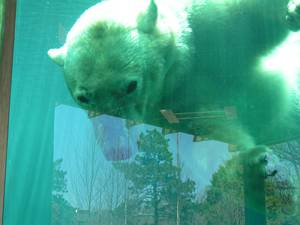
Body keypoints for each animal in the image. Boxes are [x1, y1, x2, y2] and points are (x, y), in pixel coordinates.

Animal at [48, 0, 300, 151]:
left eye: (131, 85)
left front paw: (293, 11)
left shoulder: (212, 25)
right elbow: (211, 126)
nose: (115, 126)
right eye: (83, 97)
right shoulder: (175, 104)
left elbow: (252, 17)